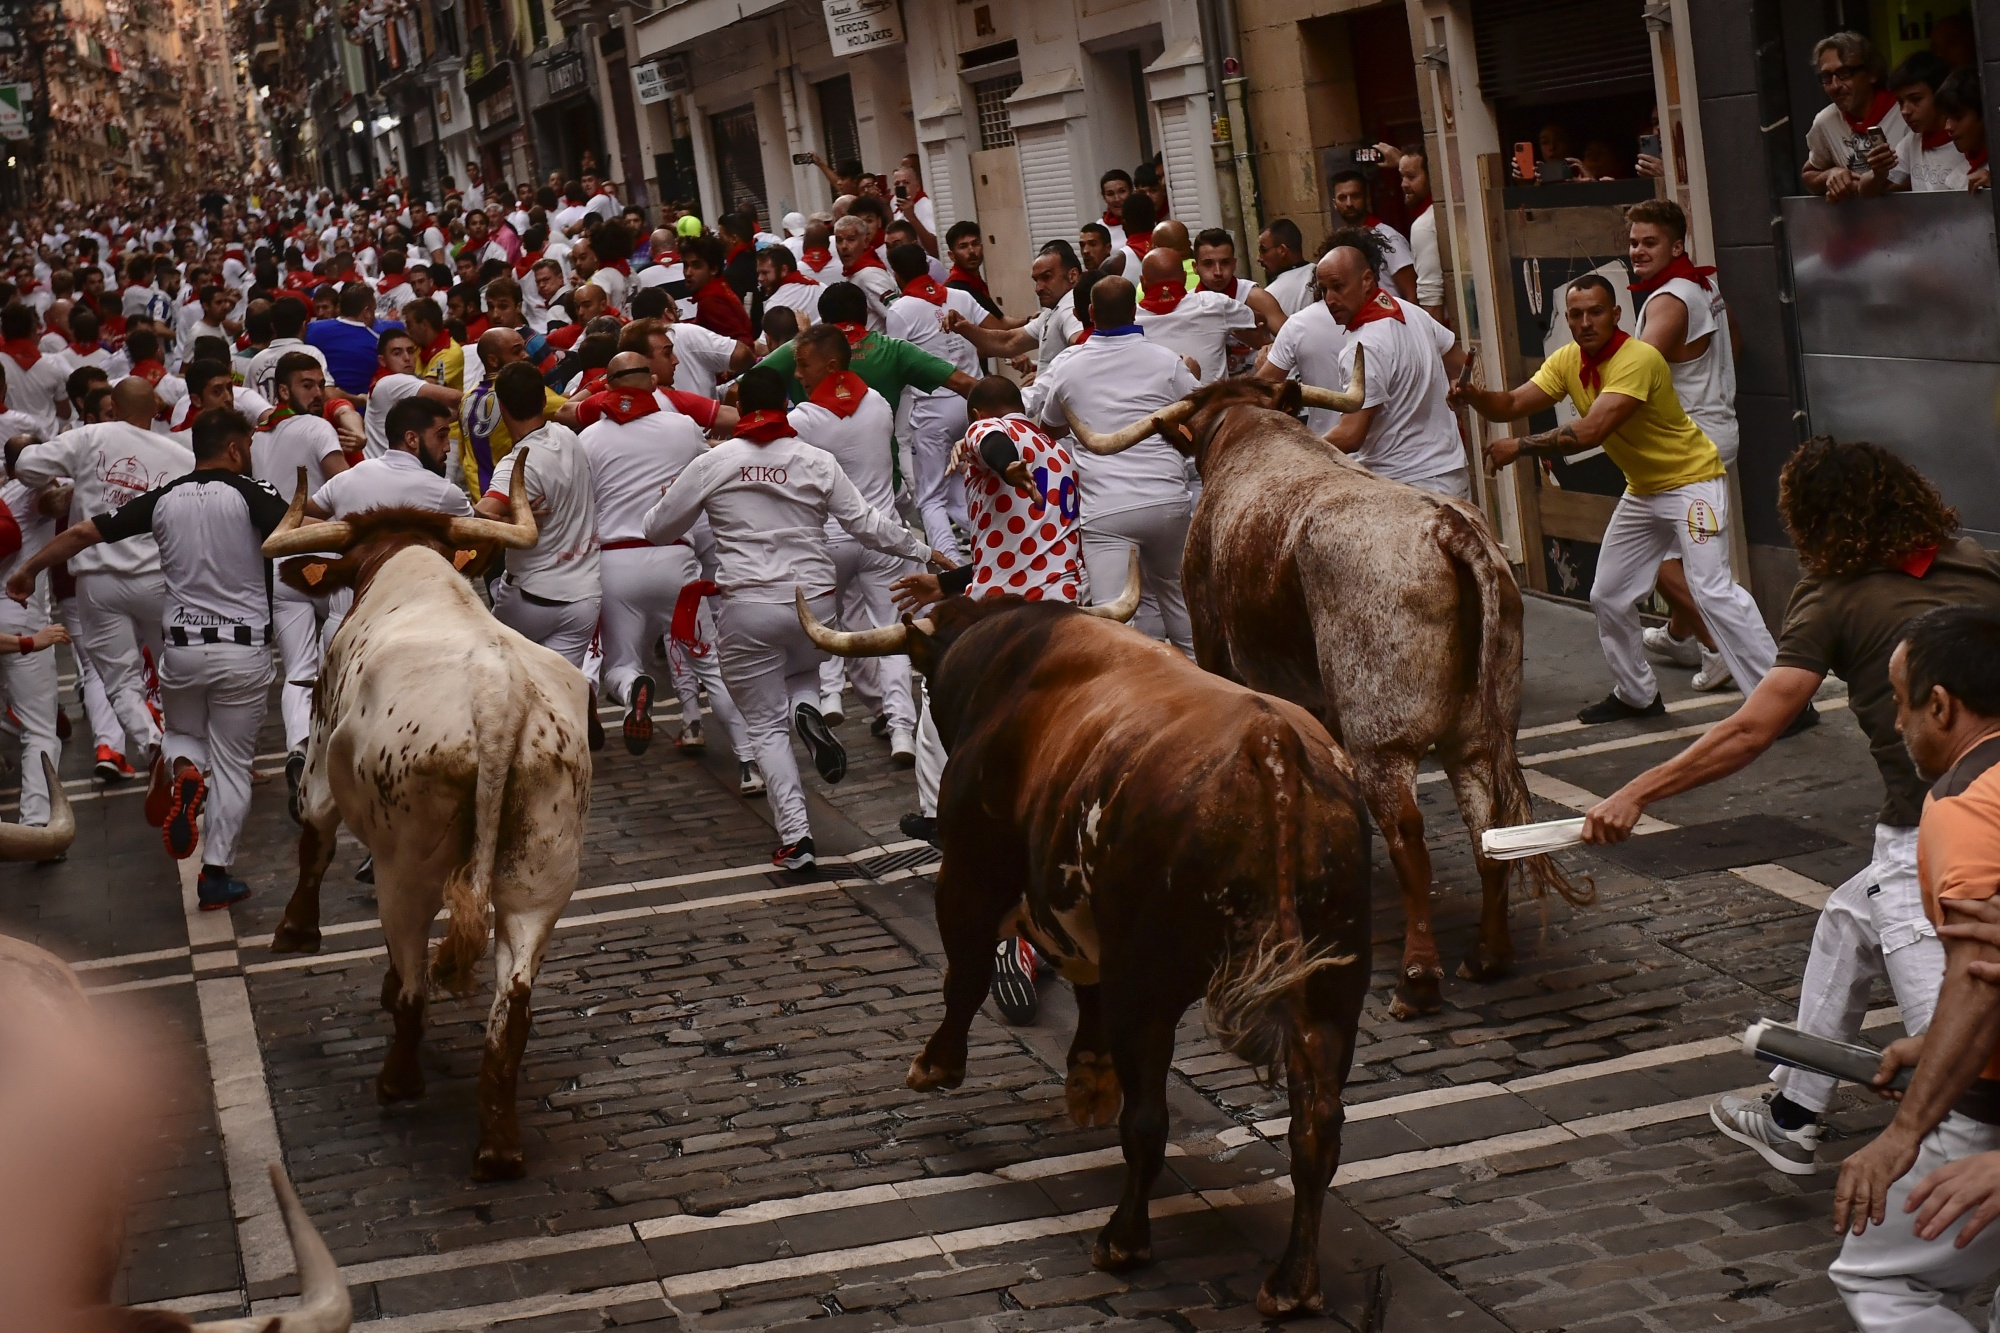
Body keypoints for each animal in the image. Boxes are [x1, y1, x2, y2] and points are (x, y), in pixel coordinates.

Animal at [256, 456, 592, 1176]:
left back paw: (398, 1079)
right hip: (542, 873)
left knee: (413, 974)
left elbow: (314, 838)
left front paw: (295, 930)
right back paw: (499, 1143)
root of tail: (498, 699)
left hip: (403, 864)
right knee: (512, 1002)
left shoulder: (321, 754)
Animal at [796, 556, 1376, 1312]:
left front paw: (938, 1064)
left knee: (1150, 1121)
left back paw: (1124, 1239)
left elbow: (965, 976)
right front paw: (1088, 1078)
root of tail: (1270, 749)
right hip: (1335, 986)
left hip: (1151, 981)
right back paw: (1292, 1281)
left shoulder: (971, 876)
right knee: (1317, 1125)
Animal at [1064, 366, 1592, 1016]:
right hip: (1475, 735)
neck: (1251, 430)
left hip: (1382, 738)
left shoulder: (1214, 644)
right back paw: (1487, 955)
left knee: (1408, 836)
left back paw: (1418, 978)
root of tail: (1447, 528)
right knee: (1487, 827)